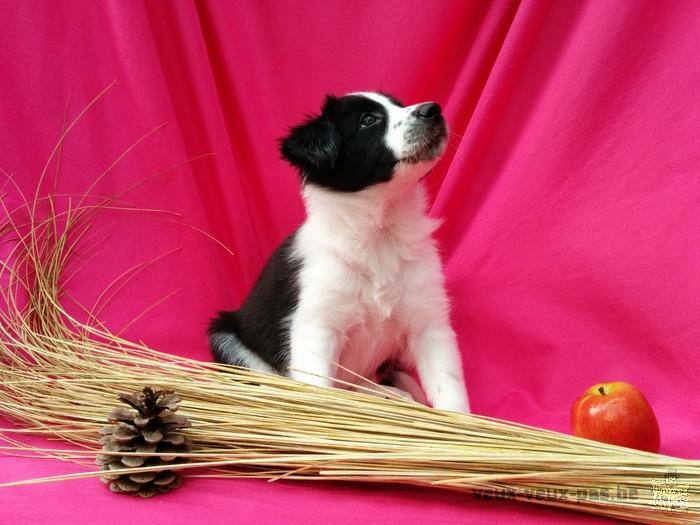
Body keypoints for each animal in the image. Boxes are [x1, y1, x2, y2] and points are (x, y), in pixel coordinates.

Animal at [209, 92, 470, 412]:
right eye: (368, 120)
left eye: (399, 105)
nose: (434, 110)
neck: (380, 233)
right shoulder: (317, 326)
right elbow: (320, 392)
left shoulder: (429, 323)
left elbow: (450, 389)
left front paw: (460, 424)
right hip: (225, 336)